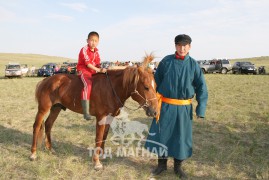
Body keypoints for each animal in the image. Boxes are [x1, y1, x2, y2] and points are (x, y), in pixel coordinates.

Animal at [29, 54, 157, 170]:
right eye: (146, 87)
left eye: (155, 86)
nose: (154, 111)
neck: (111, 88)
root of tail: (46, 80)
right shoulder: (101, 117)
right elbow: (99, 138)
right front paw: (96, 162)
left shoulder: (109, 118)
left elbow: (104, 136)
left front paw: (102, 155)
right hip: (43, 109)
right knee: (36, 126)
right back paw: (33, 153)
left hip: (56, 108)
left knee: (48, 125)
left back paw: (50, 149)